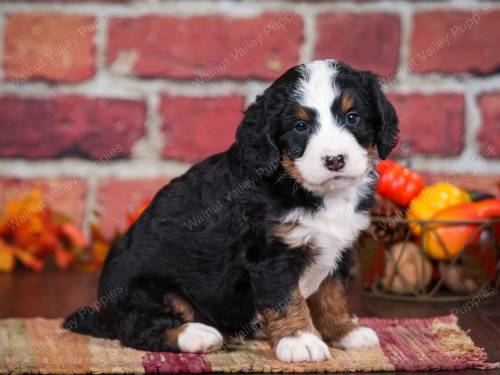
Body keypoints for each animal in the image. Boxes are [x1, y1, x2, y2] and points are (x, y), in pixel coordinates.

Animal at [65, 60, 398, 362]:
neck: (308, 190)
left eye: (353, 117)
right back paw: (198, 334)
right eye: (300, 126)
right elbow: (287, 300)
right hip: (145, 289)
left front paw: (344, 330)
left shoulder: (340, 248)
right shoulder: (270, 254)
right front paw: (299, 340)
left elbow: (333, 294)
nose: (335, 160)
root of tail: (103, 311)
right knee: (137, 328)